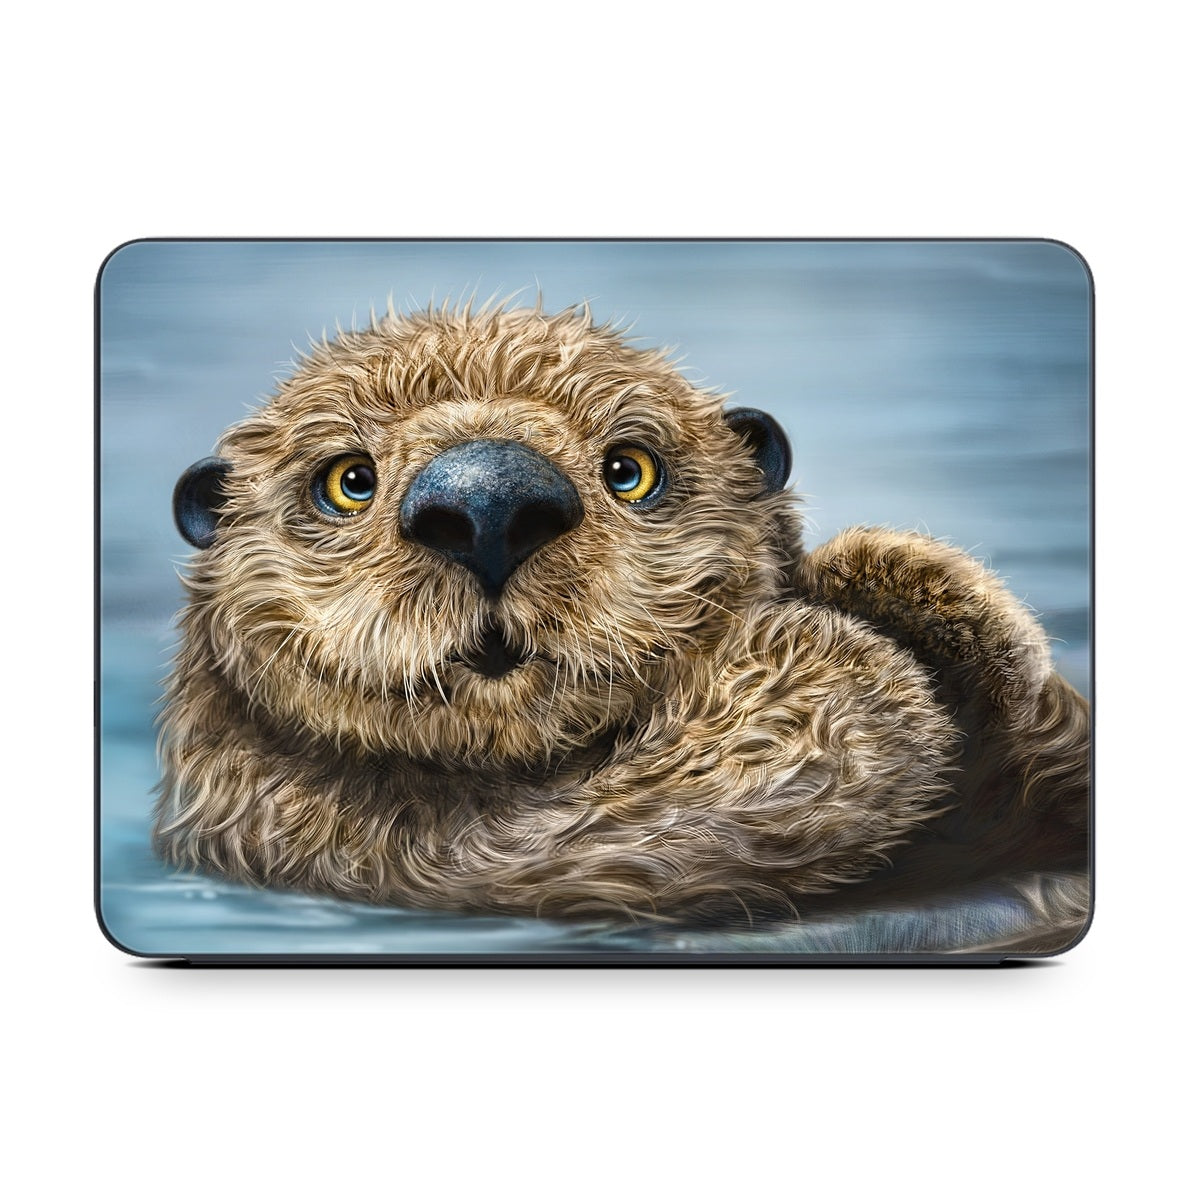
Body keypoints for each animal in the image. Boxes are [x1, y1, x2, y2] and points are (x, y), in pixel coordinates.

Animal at [157, 302, 1089, 936]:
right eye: (348, 481)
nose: (489, 503)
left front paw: (905, 578)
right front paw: (837, 651)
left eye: (629, 469)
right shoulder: (383, 848)